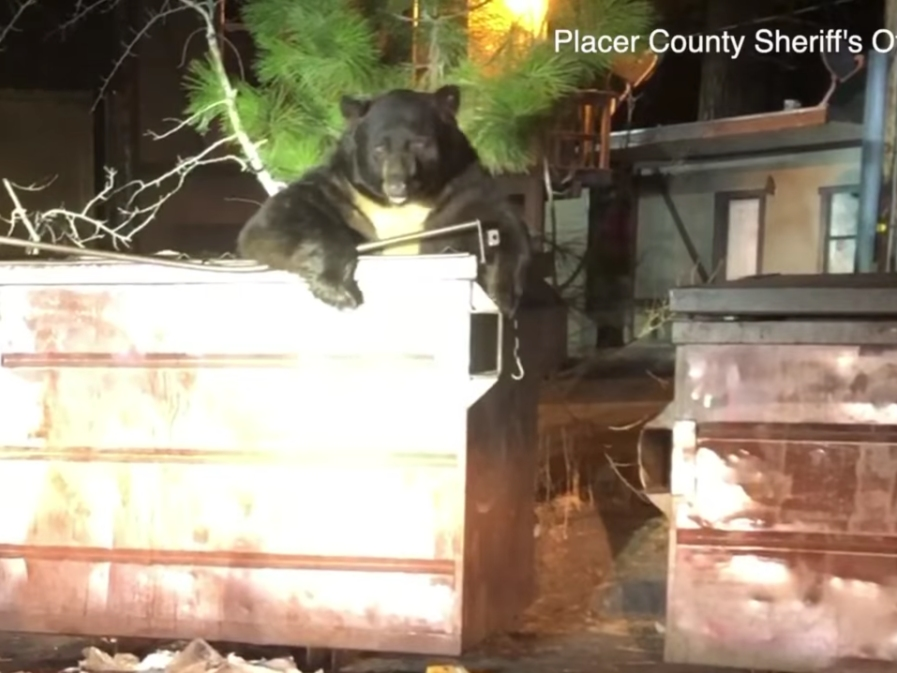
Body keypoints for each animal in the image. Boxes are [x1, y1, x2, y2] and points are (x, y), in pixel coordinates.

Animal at [236, 84, 532, 317]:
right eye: (379, 148)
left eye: (419, 143)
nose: (396, 184)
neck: (402, 206)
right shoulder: (343, 189)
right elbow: (277, 220)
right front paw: (338, 291)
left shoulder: (461, 189)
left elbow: (503, 224)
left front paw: (501, 295)